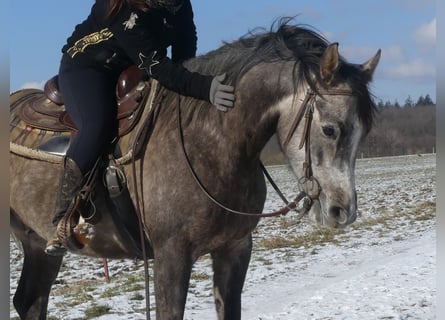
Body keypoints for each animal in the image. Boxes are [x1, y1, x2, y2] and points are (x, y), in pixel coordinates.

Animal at [9, 20, 378, 320]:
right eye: (330, 129)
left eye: (364, 132)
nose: (342, 211)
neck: (212, 141)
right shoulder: (171, 256)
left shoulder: (234, 249)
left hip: (37, 244)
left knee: (30, 301)